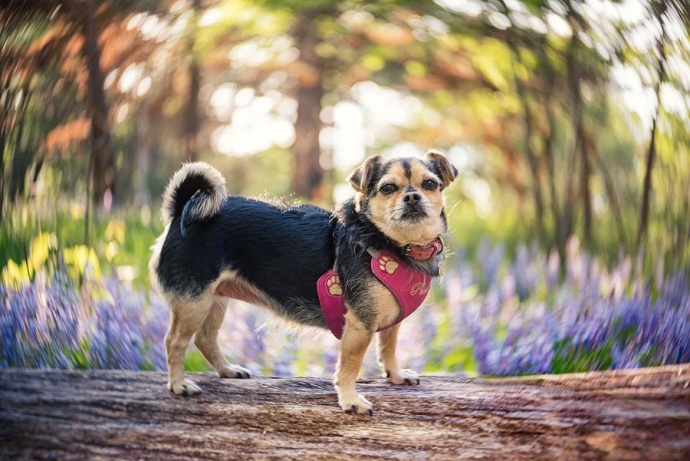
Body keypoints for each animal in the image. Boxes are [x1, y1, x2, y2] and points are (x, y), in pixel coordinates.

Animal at [148, 151, 454, 414]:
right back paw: (178, 384)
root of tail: (181, 211)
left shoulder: (389, 319)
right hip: (194, 300)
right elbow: (350, 366)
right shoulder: (360, 325)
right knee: (174, 341)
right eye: (388, 188)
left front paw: (395, 375)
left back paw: (227, 371)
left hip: (214, 300)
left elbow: (388, 348)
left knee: (204, 338)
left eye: (430, 184)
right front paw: (350, 399)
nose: (412, 197)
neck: (394, 244)